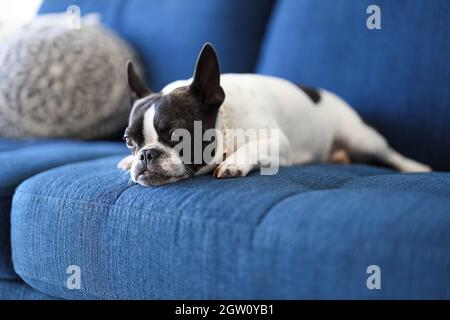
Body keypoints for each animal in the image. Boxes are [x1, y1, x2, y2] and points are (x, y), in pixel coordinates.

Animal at [118, 43, 430, 186]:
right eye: (129, 141)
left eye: (176, 135)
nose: (146, 155)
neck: (226, 123)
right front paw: (127, 160)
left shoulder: (278, 143)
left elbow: (253, 147)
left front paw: (234, 162)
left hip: (360, 137)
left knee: (389, 153)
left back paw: (416, 167)